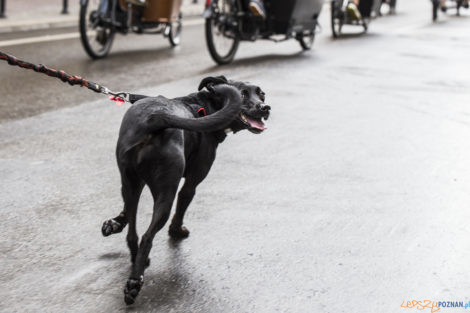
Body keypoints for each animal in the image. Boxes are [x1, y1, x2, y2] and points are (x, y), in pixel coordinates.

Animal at [102, 77, 272, 304]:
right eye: (243, 94)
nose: (265, 107)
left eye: (261, 94)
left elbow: (126, 212)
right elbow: (182, 206)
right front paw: (176, 231)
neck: (205, 106)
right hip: (166, 191)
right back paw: (134, 283)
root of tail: (155, 119)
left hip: (130, 182)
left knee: (132, 231)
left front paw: (114, 223)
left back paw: (137, 258)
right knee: (147, 236)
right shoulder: (191, 182)